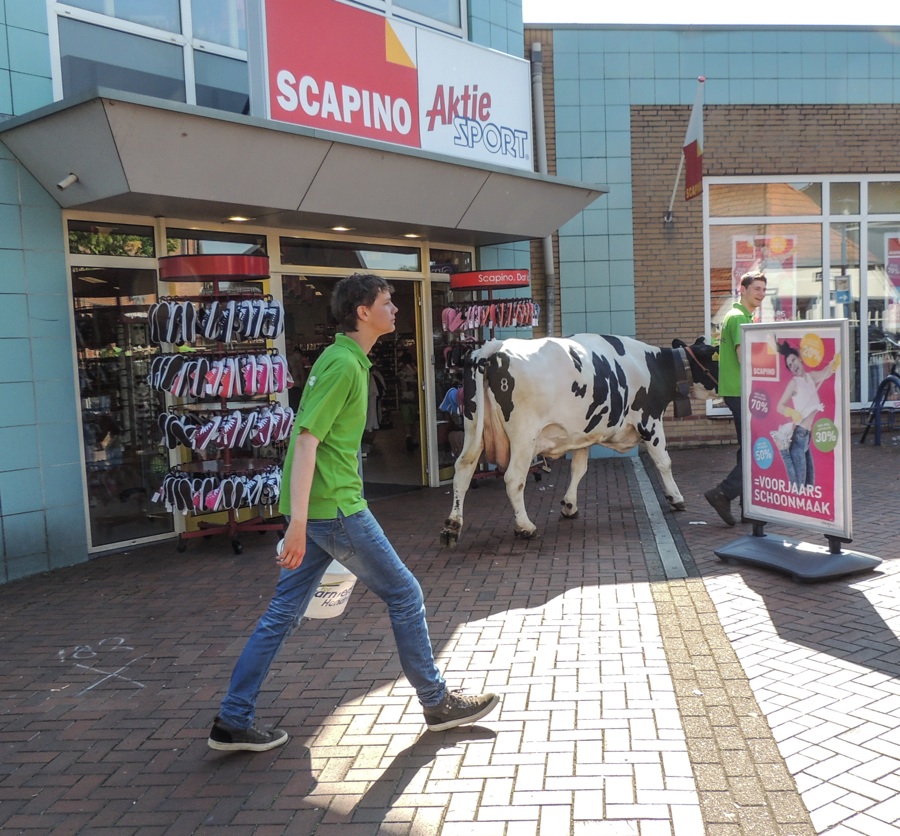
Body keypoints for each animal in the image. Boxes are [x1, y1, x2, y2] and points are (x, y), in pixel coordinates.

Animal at [439, 334, 719, 546]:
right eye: (716, 357)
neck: (654, 365)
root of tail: (495, 346)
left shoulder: (583, 434)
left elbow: (578, 469)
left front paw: (569, 505)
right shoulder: (650, 422)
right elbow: (664, 462)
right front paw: (676, 498)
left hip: (473, 426)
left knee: (463, 469)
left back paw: (453, 526)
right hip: (524, 436)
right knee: (513, 479)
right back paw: (526, 526)